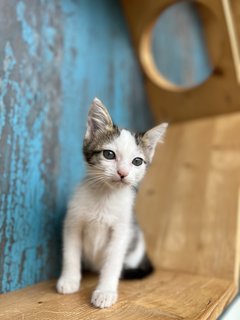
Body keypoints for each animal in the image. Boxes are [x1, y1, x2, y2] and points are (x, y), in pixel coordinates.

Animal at [57, 97, 168, 308]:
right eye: (109, 154)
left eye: (137, 161)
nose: (122, 173)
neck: (104, 196)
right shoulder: (73, 222)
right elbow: (70, 254)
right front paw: (69, 280)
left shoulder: (121, 231)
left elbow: (112, 263)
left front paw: (105, 292)